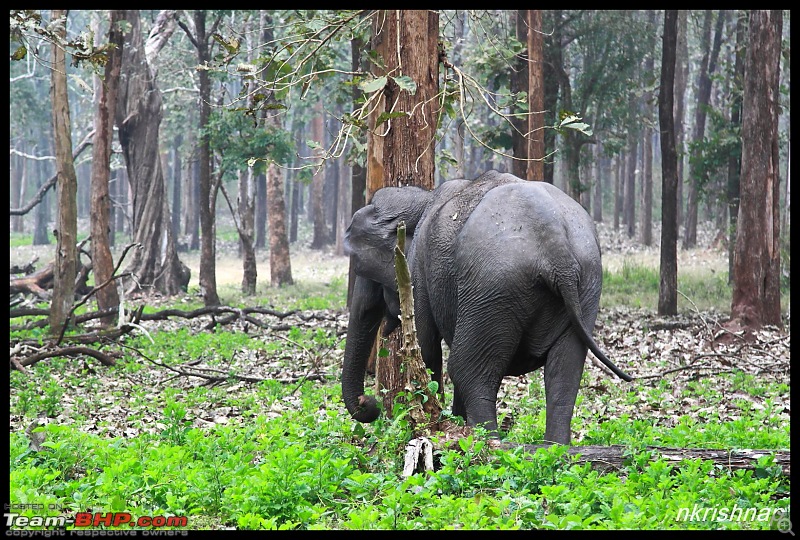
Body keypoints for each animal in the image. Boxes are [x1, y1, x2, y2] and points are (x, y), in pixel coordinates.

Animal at [340, 170, 628, 442]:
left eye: (363, 267)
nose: (368, 402)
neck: (425, 198)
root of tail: (557, 247)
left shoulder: (418, 271)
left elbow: (427, 350)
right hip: (586, 283)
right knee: (564, 372)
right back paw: (554, 448)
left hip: (492, 287)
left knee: (467, 370)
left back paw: (486, 443)